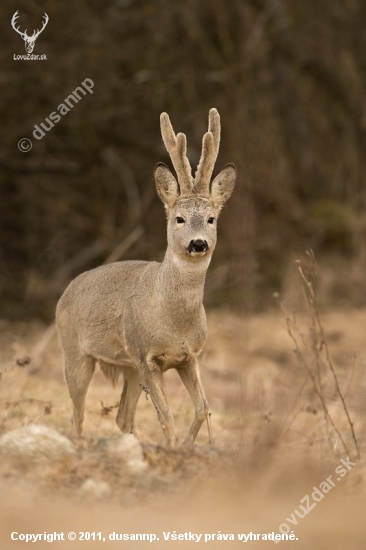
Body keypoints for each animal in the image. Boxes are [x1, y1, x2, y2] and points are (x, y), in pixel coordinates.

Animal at [55, 109, 236, 448]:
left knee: (122, 417)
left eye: (211, 219)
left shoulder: (189, 357)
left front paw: (187, 447)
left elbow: (202, 408)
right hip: (75, 352)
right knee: (77, 415)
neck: (174, 321)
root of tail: (66, 291)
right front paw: (173, 447)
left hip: (127, 368)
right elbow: (167, 417)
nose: (198, 243)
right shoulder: (145, 356)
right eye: (179, 219)